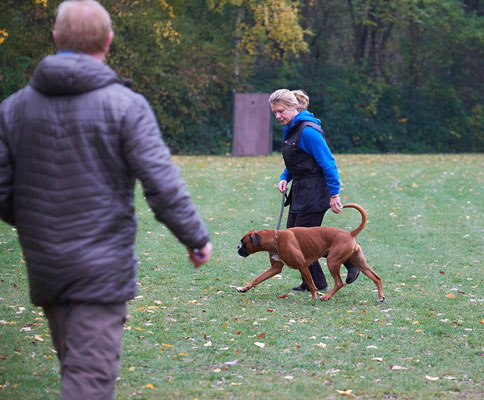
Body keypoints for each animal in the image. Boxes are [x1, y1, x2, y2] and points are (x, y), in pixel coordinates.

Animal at [236, 205, 384, 302]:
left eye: (243, 242)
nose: (237, 248)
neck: (276, 239)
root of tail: (350, 233)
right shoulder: (275, 268)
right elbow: (257, 279)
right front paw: (244, 288)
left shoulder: (303, 266)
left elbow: (312, 284)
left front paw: (313, 298)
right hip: (360, 262)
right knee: (376, 277)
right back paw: (380, 297)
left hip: (332, 261)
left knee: (339, 283)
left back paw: (326, 297)